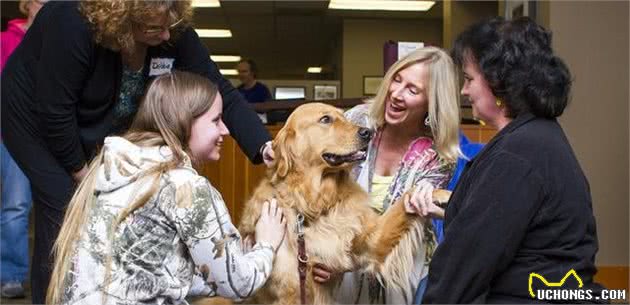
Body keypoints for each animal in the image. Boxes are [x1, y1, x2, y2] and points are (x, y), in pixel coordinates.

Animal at [237, 102, 450, 304]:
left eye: (344, 116)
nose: (368, 132)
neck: (316, 205)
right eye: (325, 119)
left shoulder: (371, 241)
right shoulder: (290, 291)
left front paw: (440, 194)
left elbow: (407, 196)